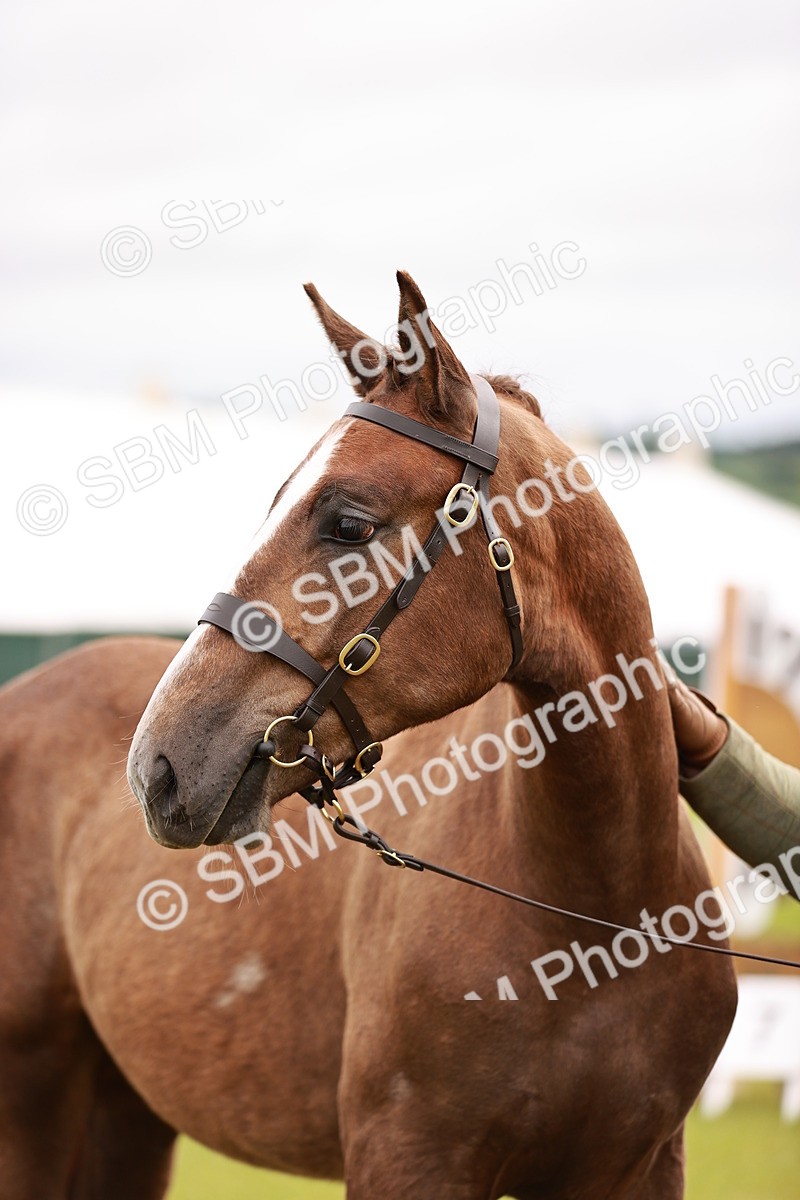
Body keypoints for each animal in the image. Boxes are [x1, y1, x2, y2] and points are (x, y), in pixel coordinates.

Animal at [0, 272, 736, 1199]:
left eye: (348, 523)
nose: (157, 768)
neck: (597, 917)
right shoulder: (408, 1157)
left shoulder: (637, 1166)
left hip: (122, 1114)